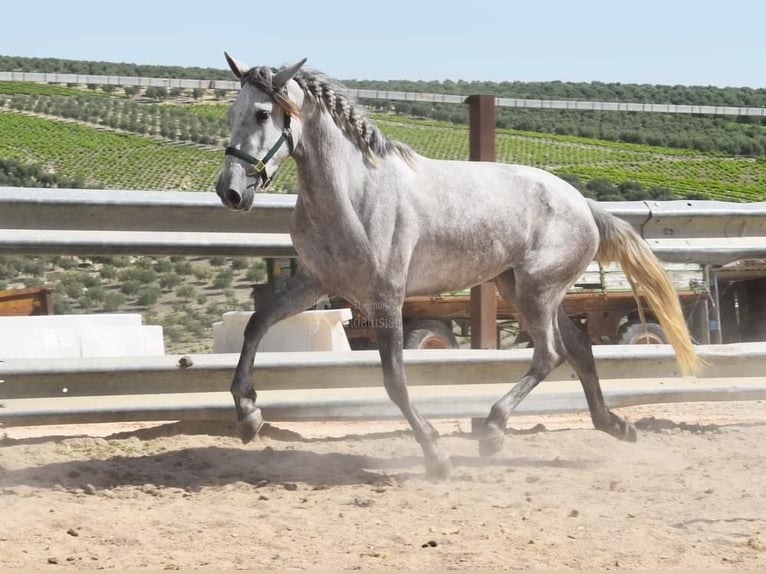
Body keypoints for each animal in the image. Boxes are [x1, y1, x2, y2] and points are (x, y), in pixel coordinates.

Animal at [213, 54, 704, 480]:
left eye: (262, 114)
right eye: (232, 111)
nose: (230, 192)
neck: (355, 194)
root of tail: (581, 203)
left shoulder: (386, 297)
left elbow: (394, 380)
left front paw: (436, 455)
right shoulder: (314, 283)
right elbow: (256, 323)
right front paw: (248, 416)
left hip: (537, 291)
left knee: (550, 354)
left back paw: (493, 430)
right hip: (522, 288)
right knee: (579, 348)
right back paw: (615, 425)